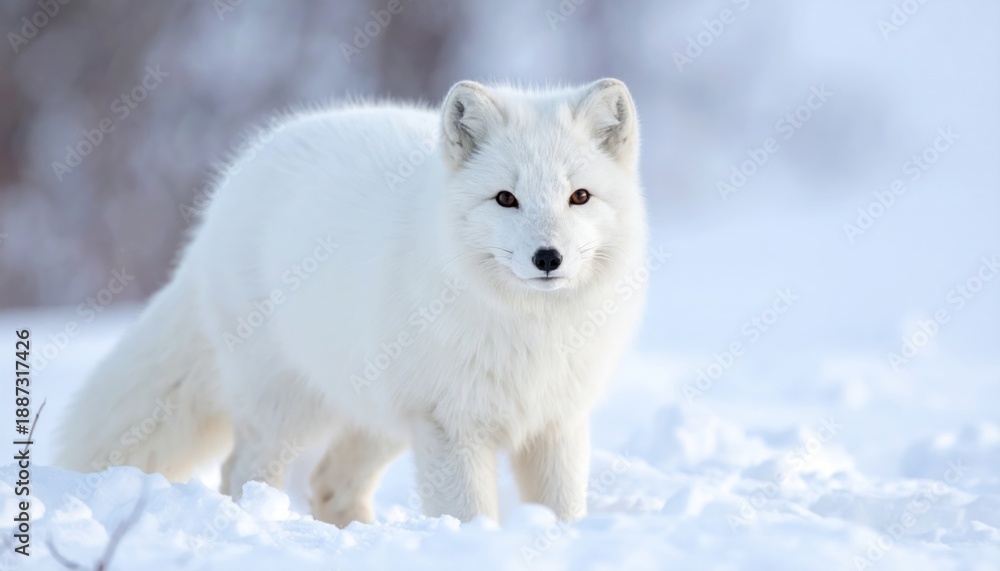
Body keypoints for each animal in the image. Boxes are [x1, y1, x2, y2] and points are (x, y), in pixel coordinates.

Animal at [56, 78, 649, 526]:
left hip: (376, 412)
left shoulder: (557, 420)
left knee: (328, 484)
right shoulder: (449, 425)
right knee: (241, 472)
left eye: (579, 197)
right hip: (289, 406)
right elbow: (468, 515)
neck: (531, 331)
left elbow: (562, 510)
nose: (547, 257)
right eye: (506, 198)